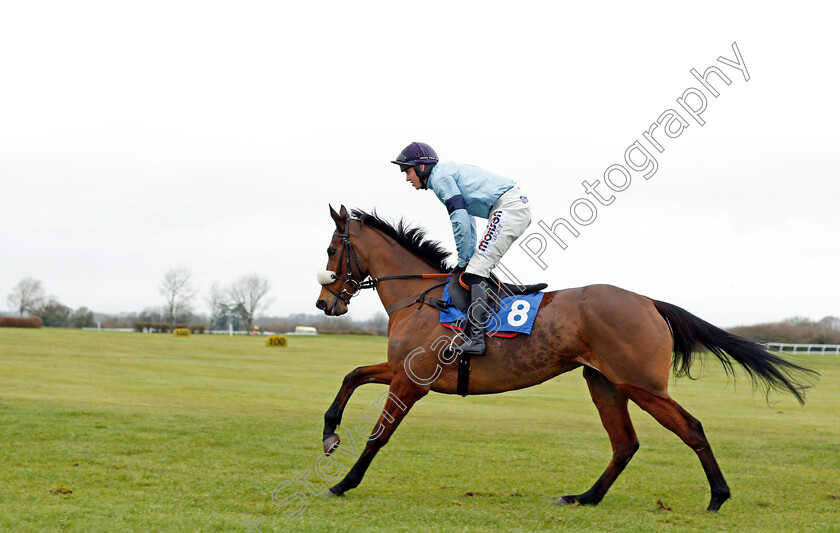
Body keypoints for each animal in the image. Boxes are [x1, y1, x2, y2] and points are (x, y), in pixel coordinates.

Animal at [314, 205, 812, 512]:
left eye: (332, 250)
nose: (325, 303)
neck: (421, 298)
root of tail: (648, 301)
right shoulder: (403, 371)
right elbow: (352, 375)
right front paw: (330, 434)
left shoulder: (410, 381)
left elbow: (378, 435)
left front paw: (342, 483)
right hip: (605, 382)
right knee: (625, 443)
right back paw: (584, 498)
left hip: (641, 384)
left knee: (690, 428)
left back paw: (717, 496)